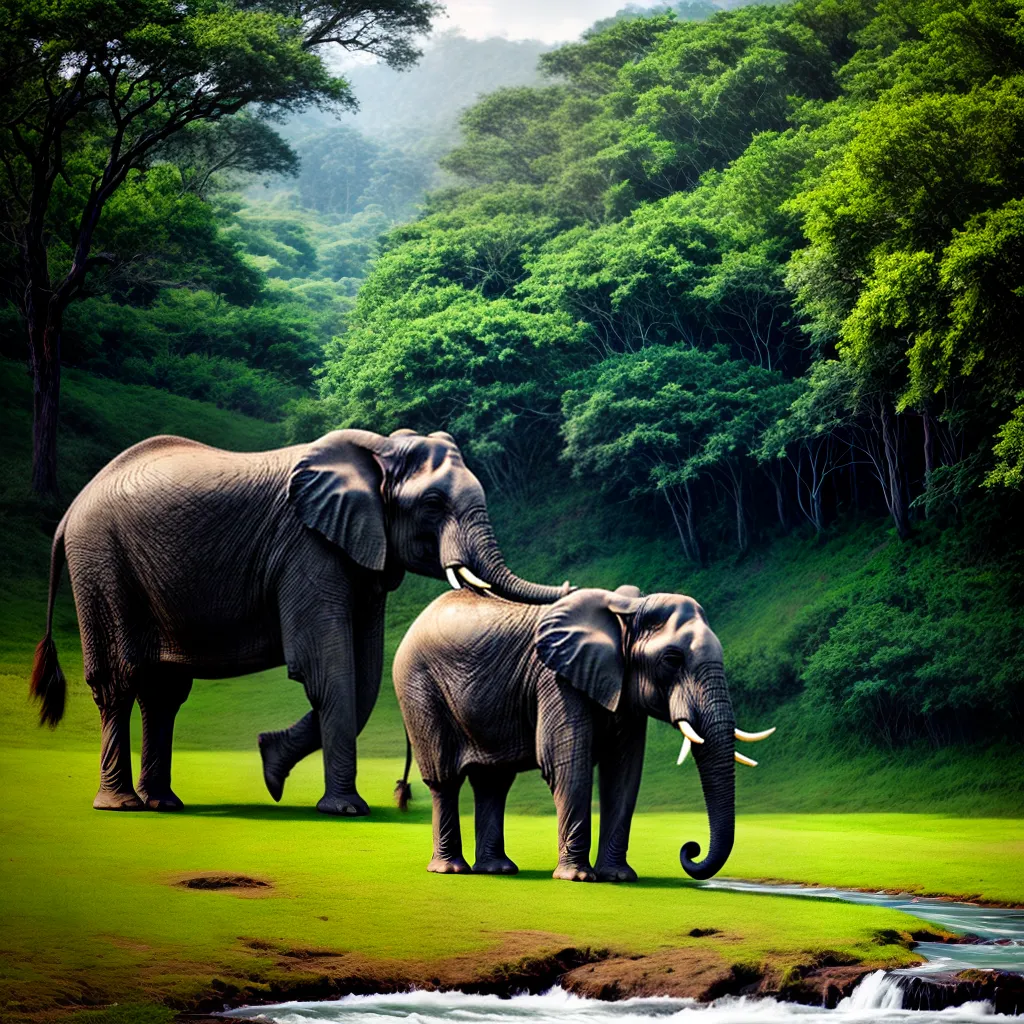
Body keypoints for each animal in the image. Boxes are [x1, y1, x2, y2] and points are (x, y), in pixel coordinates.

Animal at [30, 428, 568, 816]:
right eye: (433, 505)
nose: (567, 588)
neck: (379, 451)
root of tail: (68, 513)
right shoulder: (308, 547)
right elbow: (328, 668)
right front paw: (345, 810)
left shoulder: (361, 554)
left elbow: (364, 674)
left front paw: (271, 763)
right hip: (101, 568)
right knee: (119, 683)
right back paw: (121, 805)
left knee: (163, 693)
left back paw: (164, 803)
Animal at [392, 585, 775, 881]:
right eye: (671, 659)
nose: (690, 848)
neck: (626, 613)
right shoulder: (557, 678)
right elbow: (567, 763)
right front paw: (577, 878)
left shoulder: (622, 689)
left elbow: (623, 773)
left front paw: (618, 877)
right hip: (418, 688)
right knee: (445, 779)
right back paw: (450, 870)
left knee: (493, 782)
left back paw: (498, 869)